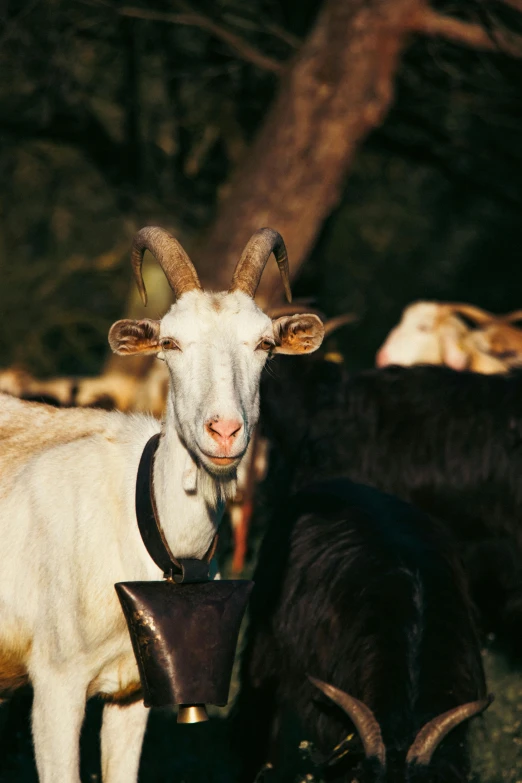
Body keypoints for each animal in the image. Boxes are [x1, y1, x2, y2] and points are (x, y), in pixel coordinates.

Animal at [0, 227, 322, 783]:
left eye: (264, 344)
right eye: (170, 342)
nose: (225, 431)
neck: (141, 520)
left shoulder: (132, 691)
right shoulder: (56, 685)